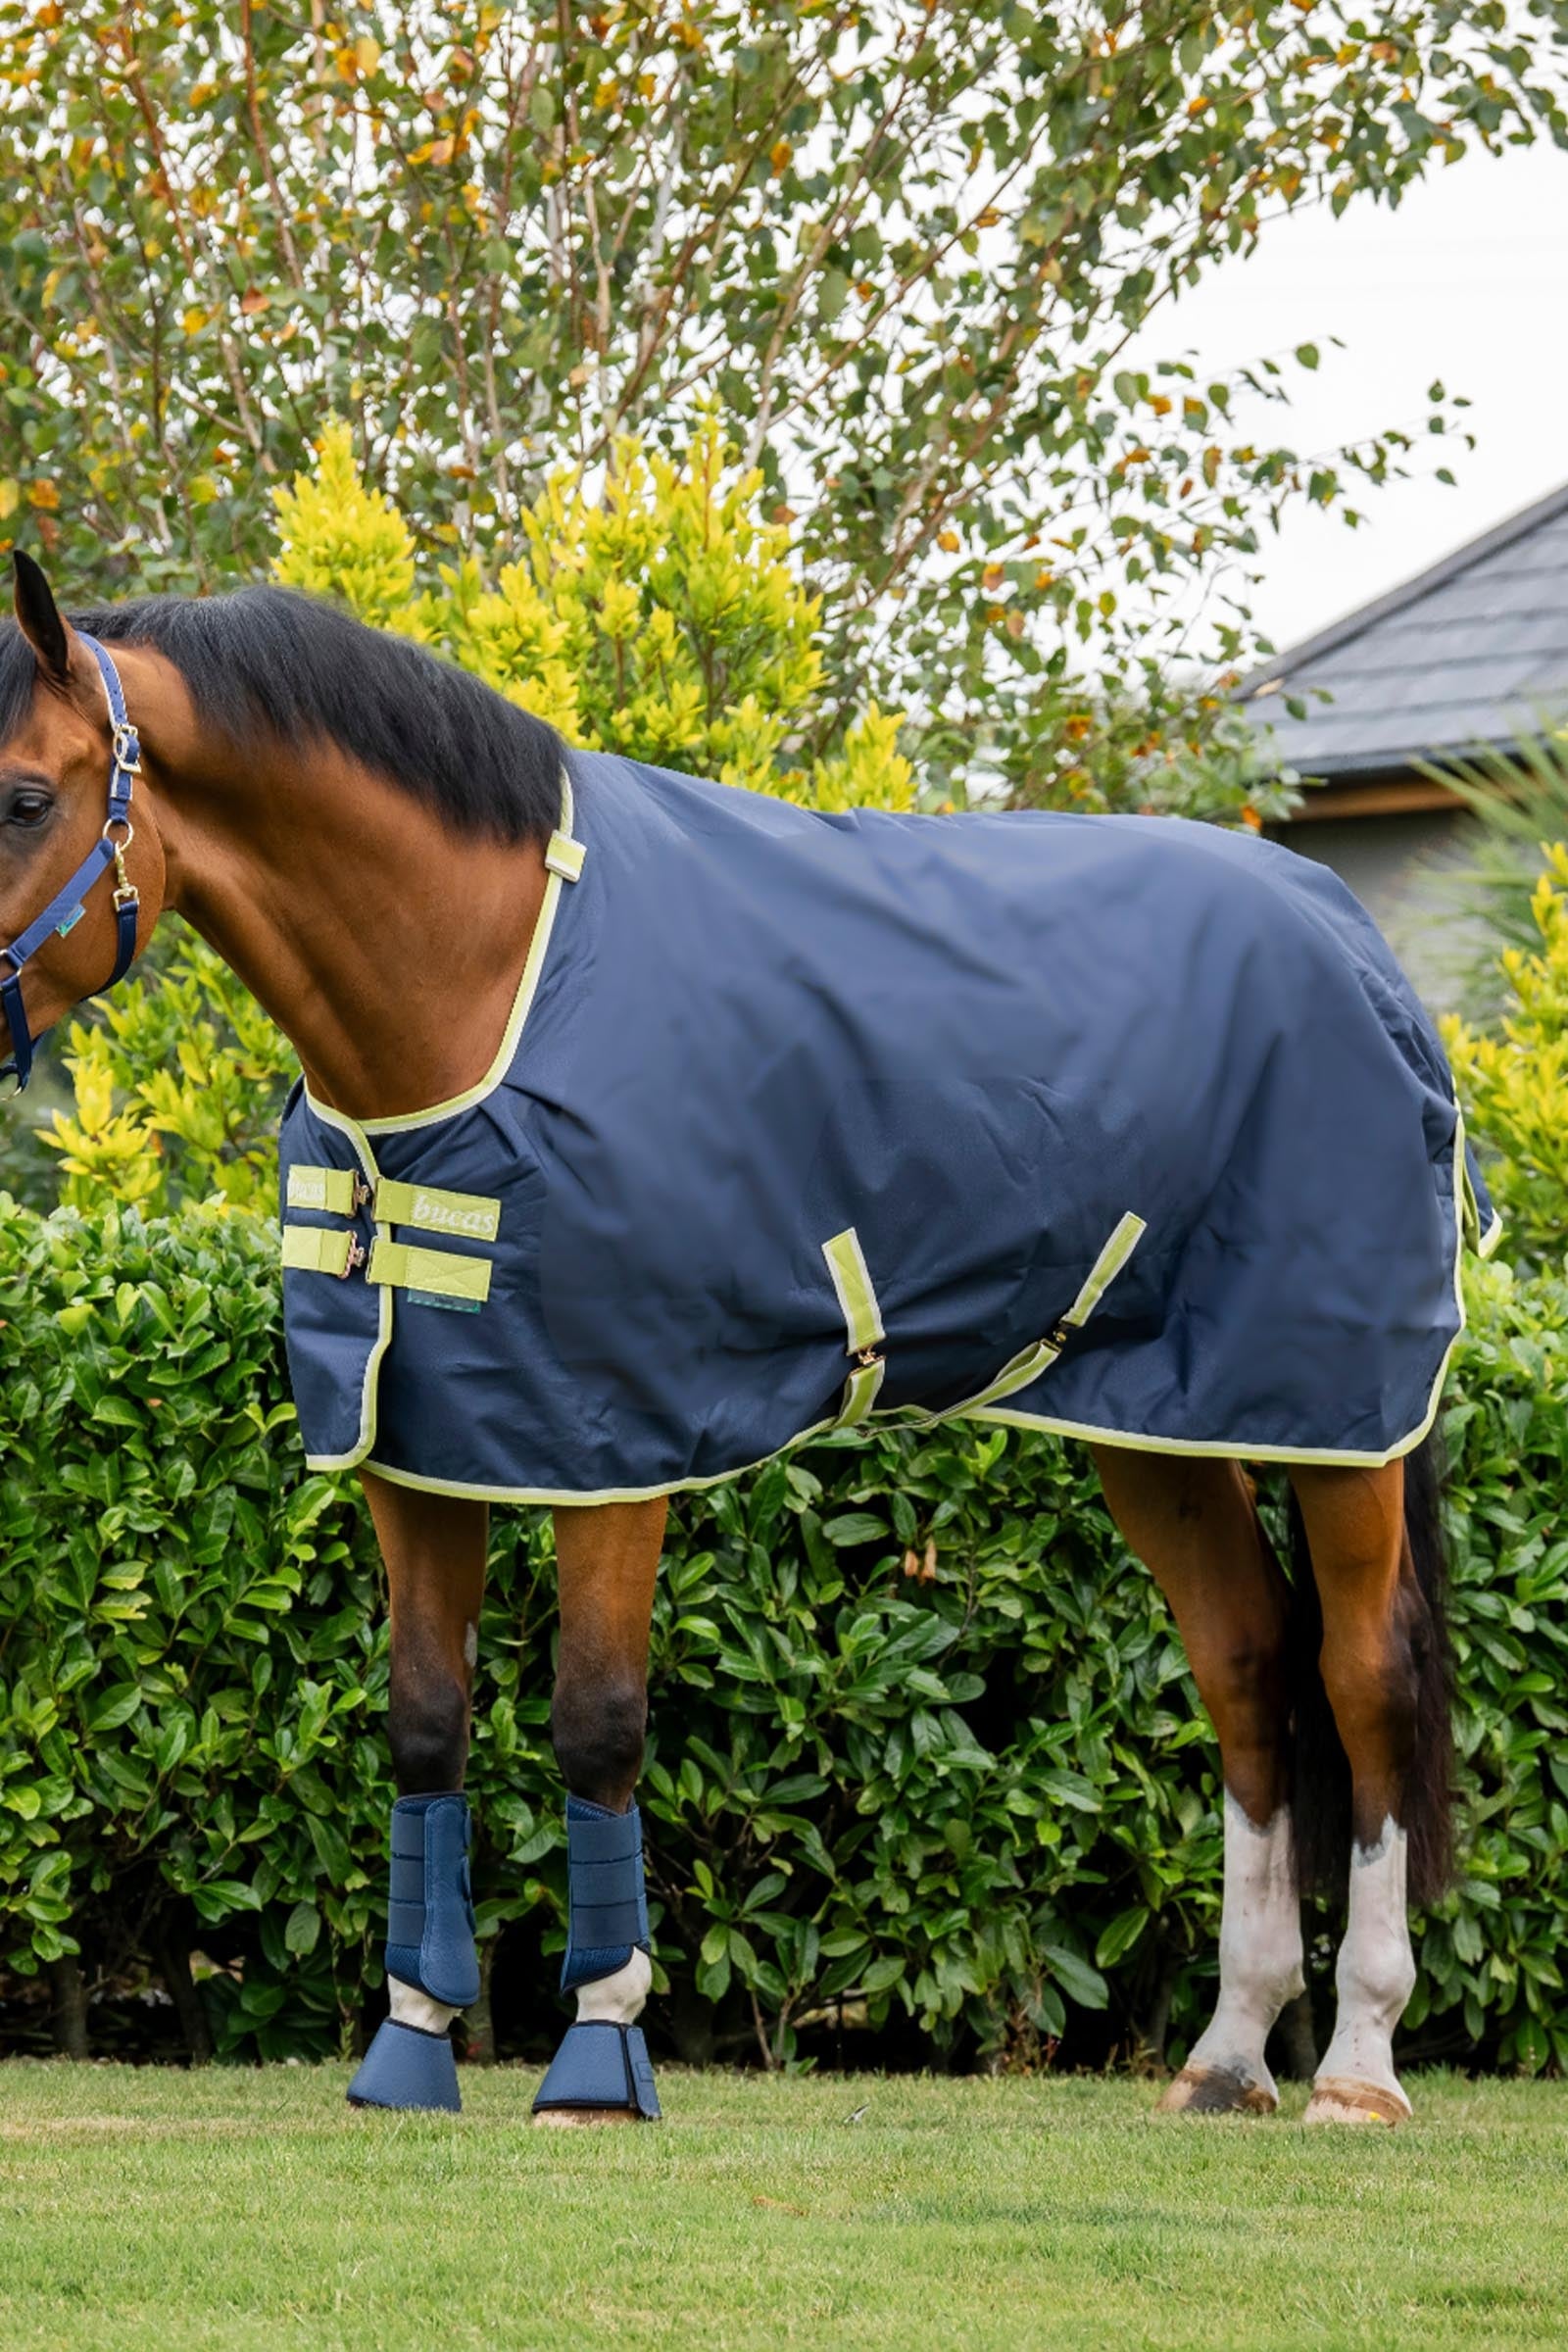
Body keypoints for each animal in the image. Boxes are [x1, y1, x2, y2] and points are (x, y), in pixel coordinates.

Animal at [0, 549, 1493, 2126]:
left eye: (27, 797)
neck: (490, 984)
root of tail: (1355, 942)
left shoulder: (614, 1448)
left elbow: (597, 1718)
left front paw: (598, 2057)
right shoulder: (418, 1446)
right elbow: (423, 1723)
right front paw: (410, 2048)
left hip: (1339, 1424)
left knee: (1366, 1680)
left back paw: (1357, 2065)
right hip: (1167, 1425)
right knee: (1250, 1672)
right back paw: (1226, 2053)